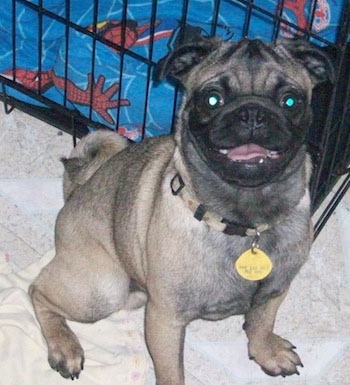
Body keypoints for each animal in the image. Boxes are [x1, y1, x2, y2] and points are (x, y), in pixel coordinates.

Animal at [29, 36, 334, 384]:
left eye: (290, 101)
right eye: (212, 99)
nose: (252, 112)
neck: (245, 220)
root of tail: (76, 191)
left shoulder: (275, 291)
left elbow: (261, 323)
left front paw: (266, 351)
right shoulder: (166, 320)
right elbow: (173, 372)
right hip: (103, 288)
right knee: (39, 292)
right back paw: (64, 346)